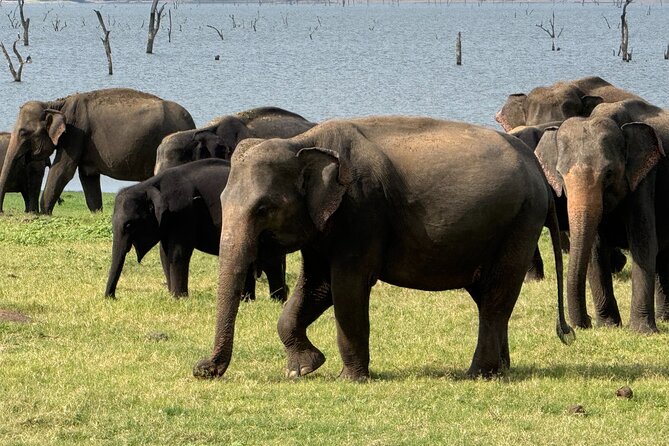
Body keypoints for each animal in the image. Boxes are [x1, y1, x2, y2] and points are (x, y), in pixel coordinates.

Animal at [0, 88, 195, 214]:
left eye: (23, 132)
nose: (2, 212)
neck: (56, 104)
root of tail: (191, 122)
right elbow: (87, 176)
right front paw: (97, 213)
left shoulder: (75, 132)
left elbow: (62, 170)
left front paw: (44, 214)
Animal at [105, 158, 288, 301]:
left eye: (129, 225)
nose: (111, 297)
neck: (151, 184)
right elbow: (164, 253)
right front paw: (172, 296)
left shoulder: (184, 211)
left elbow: (178, 252)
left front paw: (179, 298)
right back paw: (248, 300)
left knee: (272, 261)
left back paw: (276, 301)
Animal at [192, 116, 574, 381]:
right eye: (222, 201)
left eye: (263, 209)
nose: (202, 369)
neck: (302, 142)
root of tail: (539, 170)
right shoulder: (325, 225)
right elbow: (317, 286)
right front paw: (302, 369)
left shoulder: (362, 211)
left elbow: (347, 288)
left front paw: (350, 379)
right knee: (489, 298)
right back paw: (501, 369)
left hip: (519, 223)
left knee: (496, 296)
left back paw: (479, 373)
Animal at [535, 98, 669, 332]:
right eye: (560, 174)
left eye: (609, 173)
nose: (582, 323)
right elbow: (595, 250)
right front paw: (608, 326)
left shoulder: (644, 179)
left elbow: (643, 243)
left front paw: (641, 331)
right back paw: (663, 319)